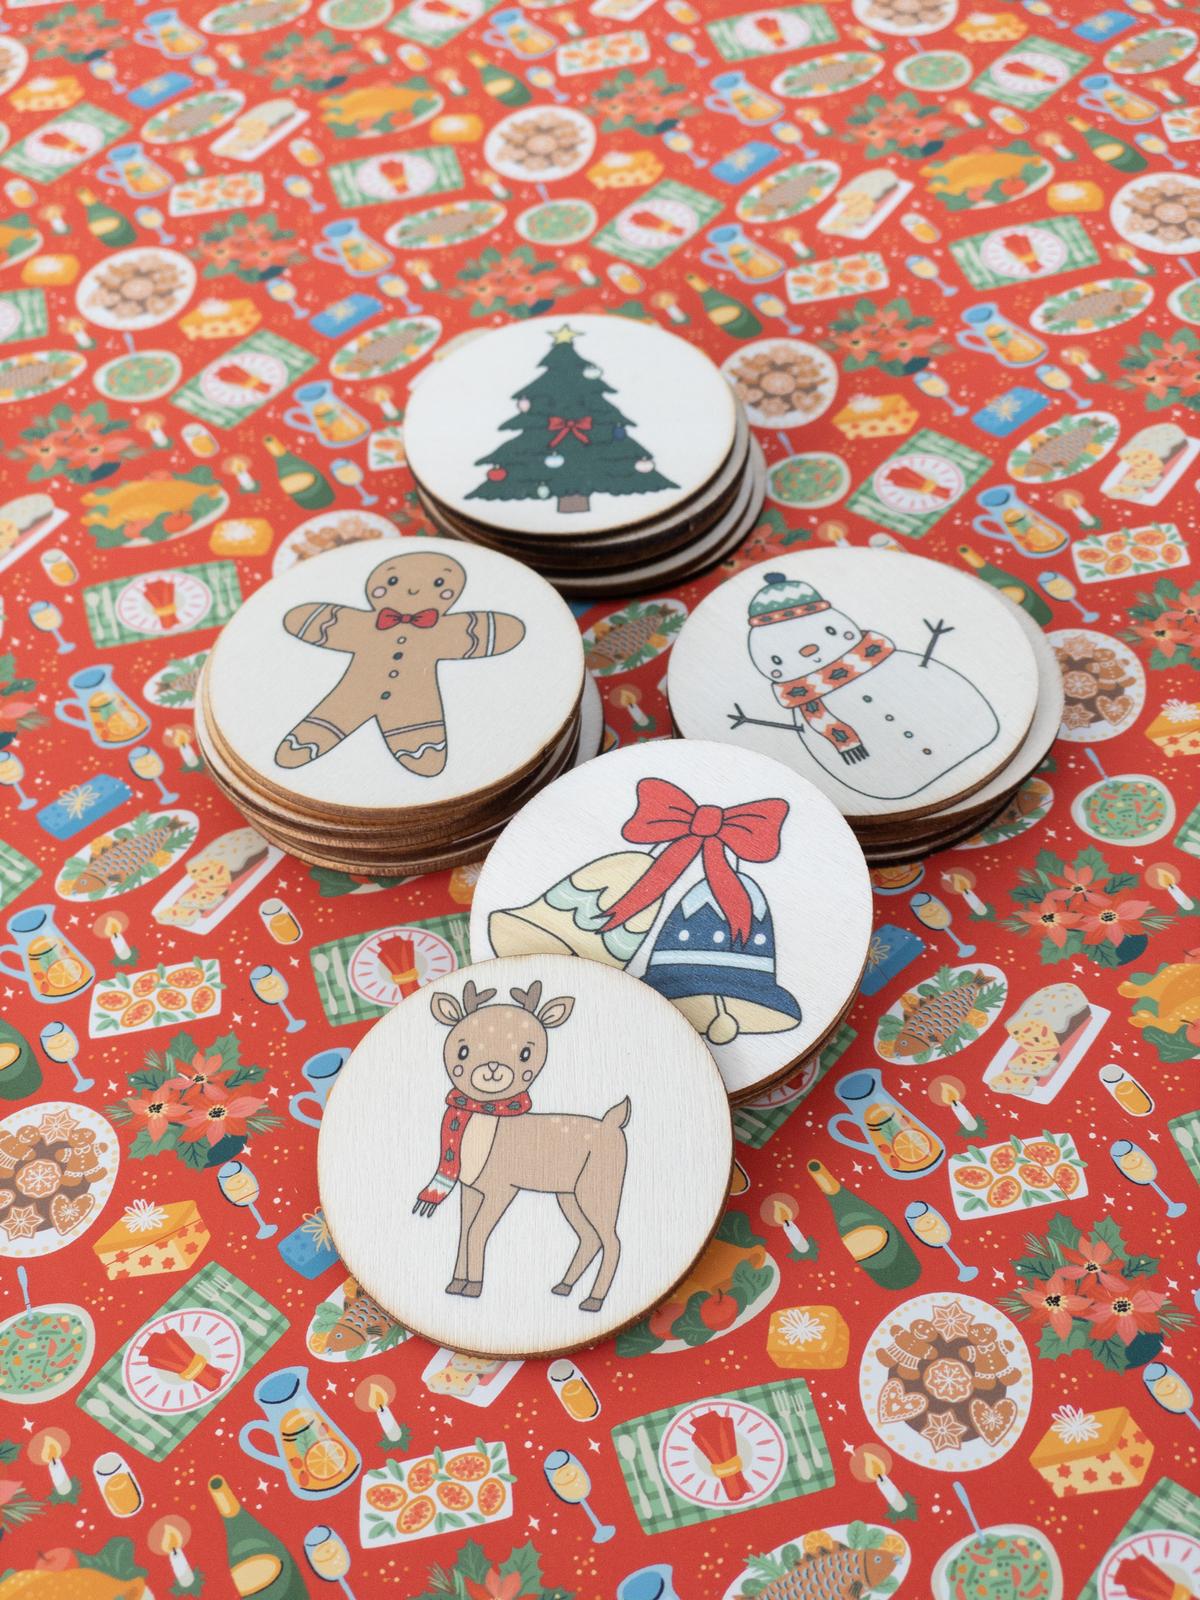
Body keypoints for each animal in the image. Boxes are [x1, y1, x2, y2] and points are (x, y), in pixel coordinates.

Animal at [413, 979, 631, 1313]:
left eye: (526, 1053)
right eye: (462, 1050)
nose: (492, 1068)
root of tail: (613, 1123)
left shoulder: (502, 1189)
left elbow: (476, 1231)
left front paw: (473, 1288)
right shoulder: (471, 1189)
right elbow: (463, 1231)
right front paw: (456, 1285)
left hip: (600, 1189)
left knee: (612, 1240)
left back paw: (593, 1301)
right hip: (570, 1194)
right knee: (590, 1238)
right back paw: (564, 1288)